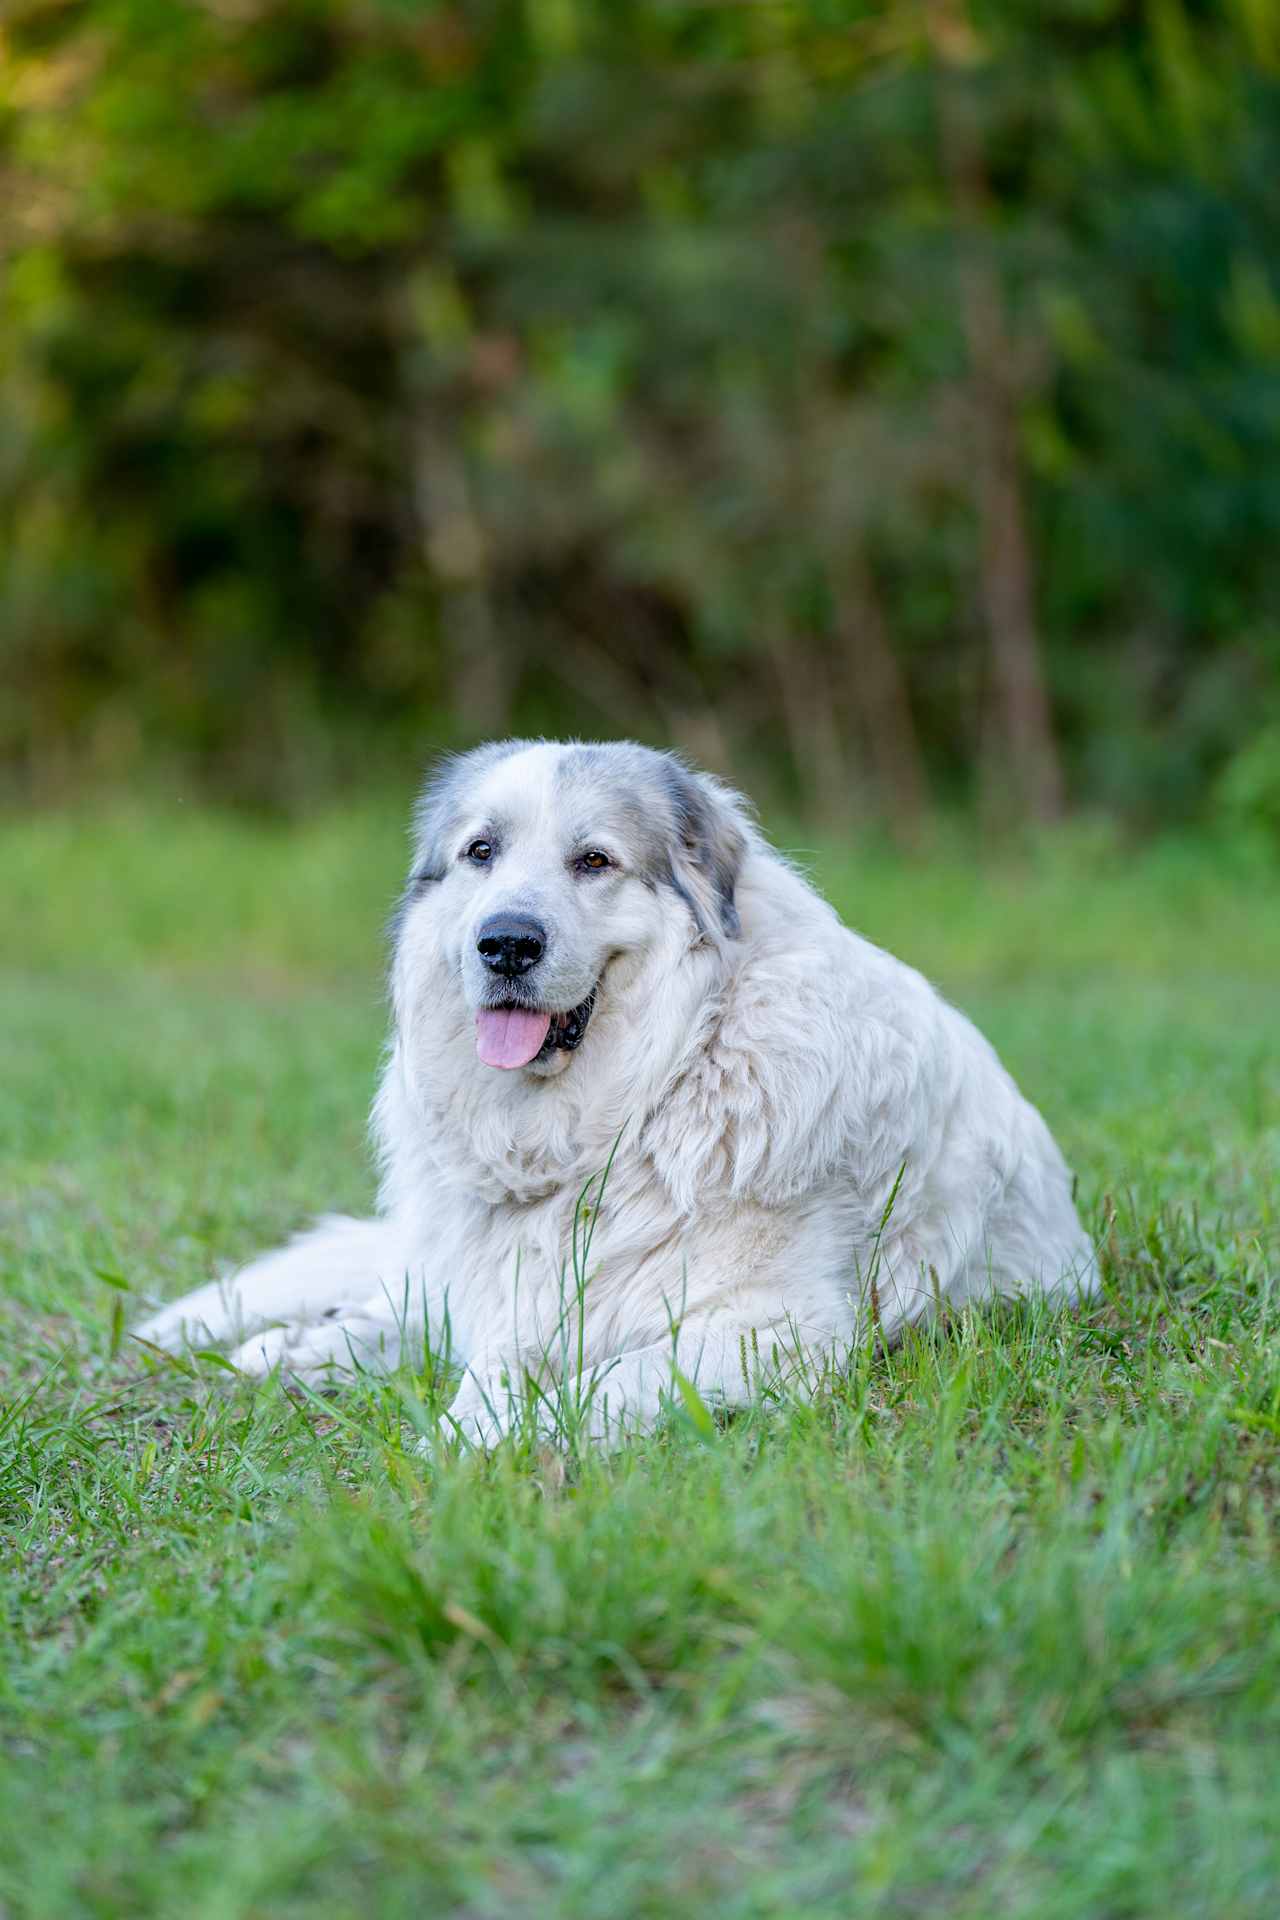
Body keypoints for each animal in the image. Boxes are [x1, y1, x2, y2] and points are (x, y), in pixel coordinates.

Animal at [135, 741, 1097, 1436]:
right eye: (480, 853)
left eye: (594, 861)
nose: (505, 942)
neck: (647, 1095)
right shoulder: (520, 1301)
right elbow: (494, 1361)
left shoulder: (774, 1331)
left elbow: (605, 1380)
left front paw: (489, 1442)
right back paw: (285, 1348)